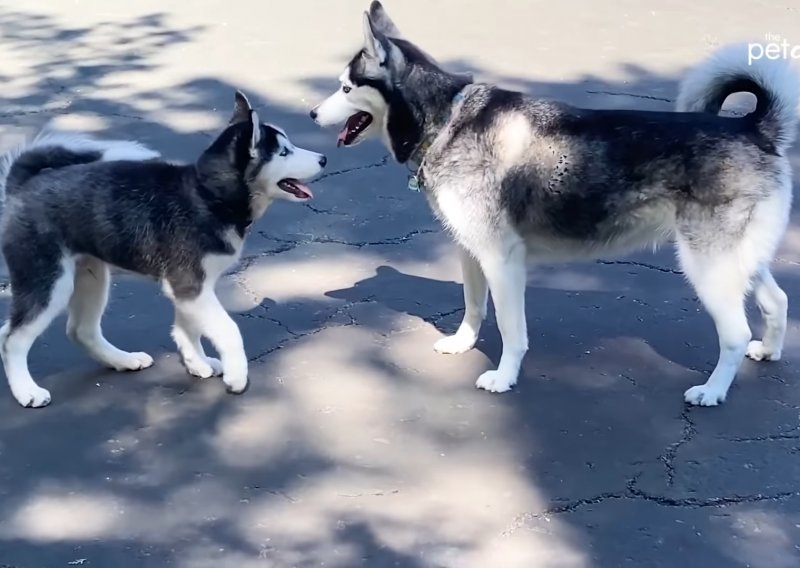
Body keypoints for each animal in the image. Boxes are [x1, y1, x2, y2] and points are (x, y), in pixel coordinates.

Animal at [0, 91, 328, 406]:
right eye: (284, 152)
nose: (324, 158)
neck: (207, 195)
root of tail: (23, 184)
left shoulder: (190, 289)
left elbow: (187, 328)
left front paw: (197, 362)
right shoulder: (190, 285)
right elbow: (228, 330)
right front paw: (236, 375)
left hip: (90, 275)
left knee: (80, 330)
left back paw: (122, 360)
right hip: (49, 281)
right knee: (11, 337)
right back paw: (26, 390)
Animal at [310, 2, 800, 406]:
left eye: (346, 88)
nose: (312, 114)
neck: (447, 119)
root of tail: (753, 128)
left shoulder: (502, 259)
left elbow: (512, 329)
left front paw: (504, 377)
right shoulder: (471, 252)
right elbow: (473, 307)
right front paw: (462, 343)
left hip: (707, 266)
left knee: (734, 333)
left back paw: (713, 390)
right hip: (739, 261)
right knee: (777, 302)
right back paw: (769, 350)